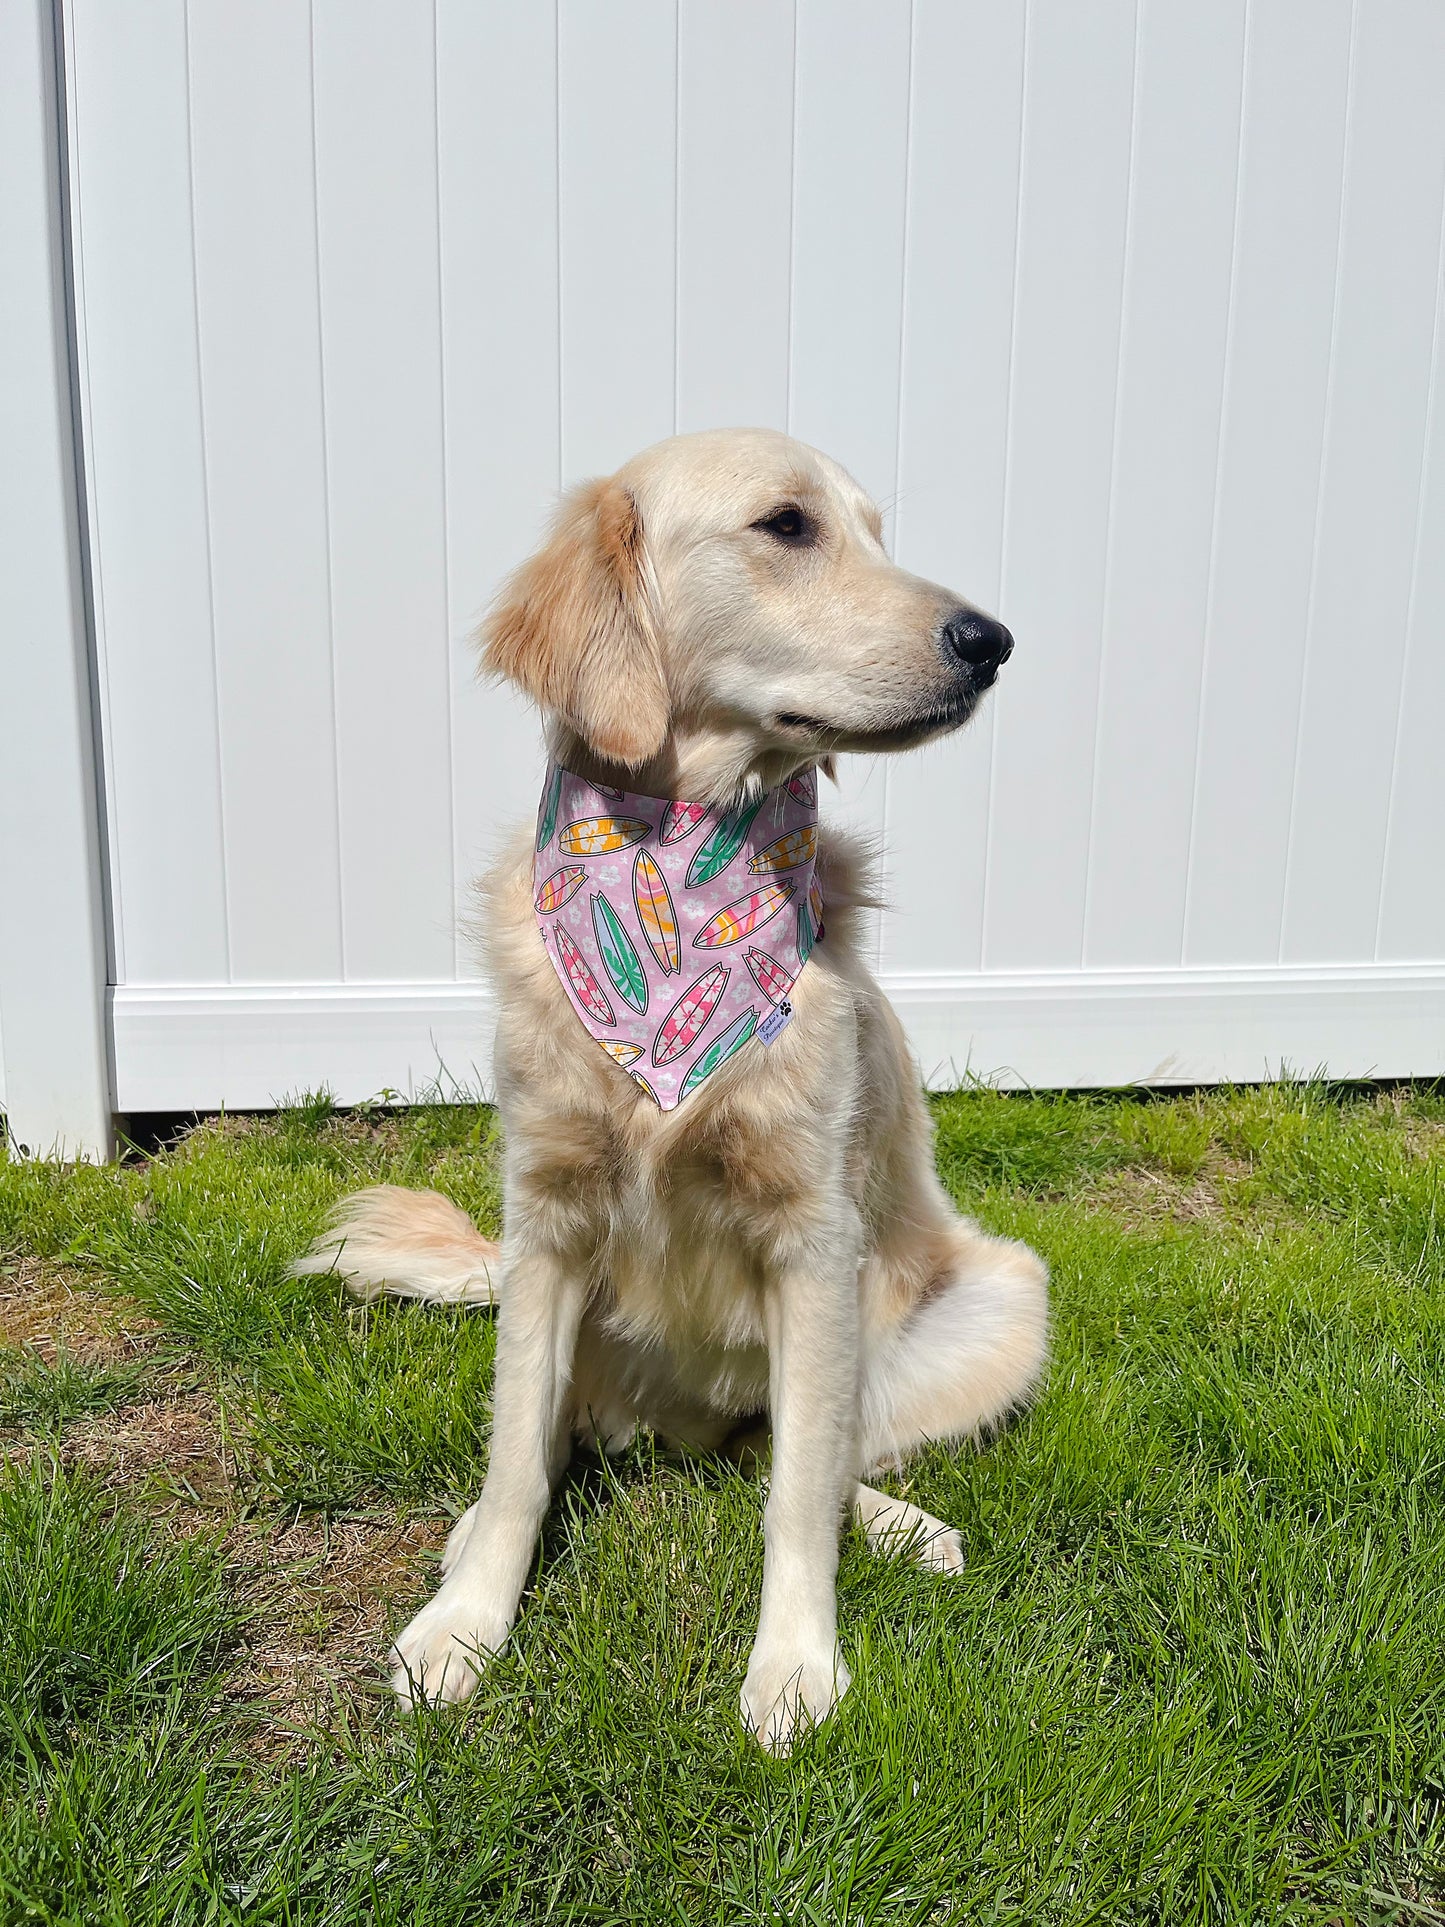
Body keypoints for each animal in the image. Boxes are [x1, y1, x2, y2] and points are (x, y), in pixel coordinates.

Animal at [302, 429, 1055, 1757]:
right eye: (787, 525)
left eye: (875, 530)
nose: (991, 639)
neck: (680, 860)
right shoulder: (545, 1216)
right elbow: (514, 1467)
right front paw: (464, 1625)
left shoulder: (814, 1240)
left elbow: (797, 1496)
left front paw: (793, 1665)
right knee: (557, 1434)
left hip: (997, 1297)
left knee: (813, 1455)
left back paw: (902, 1524)